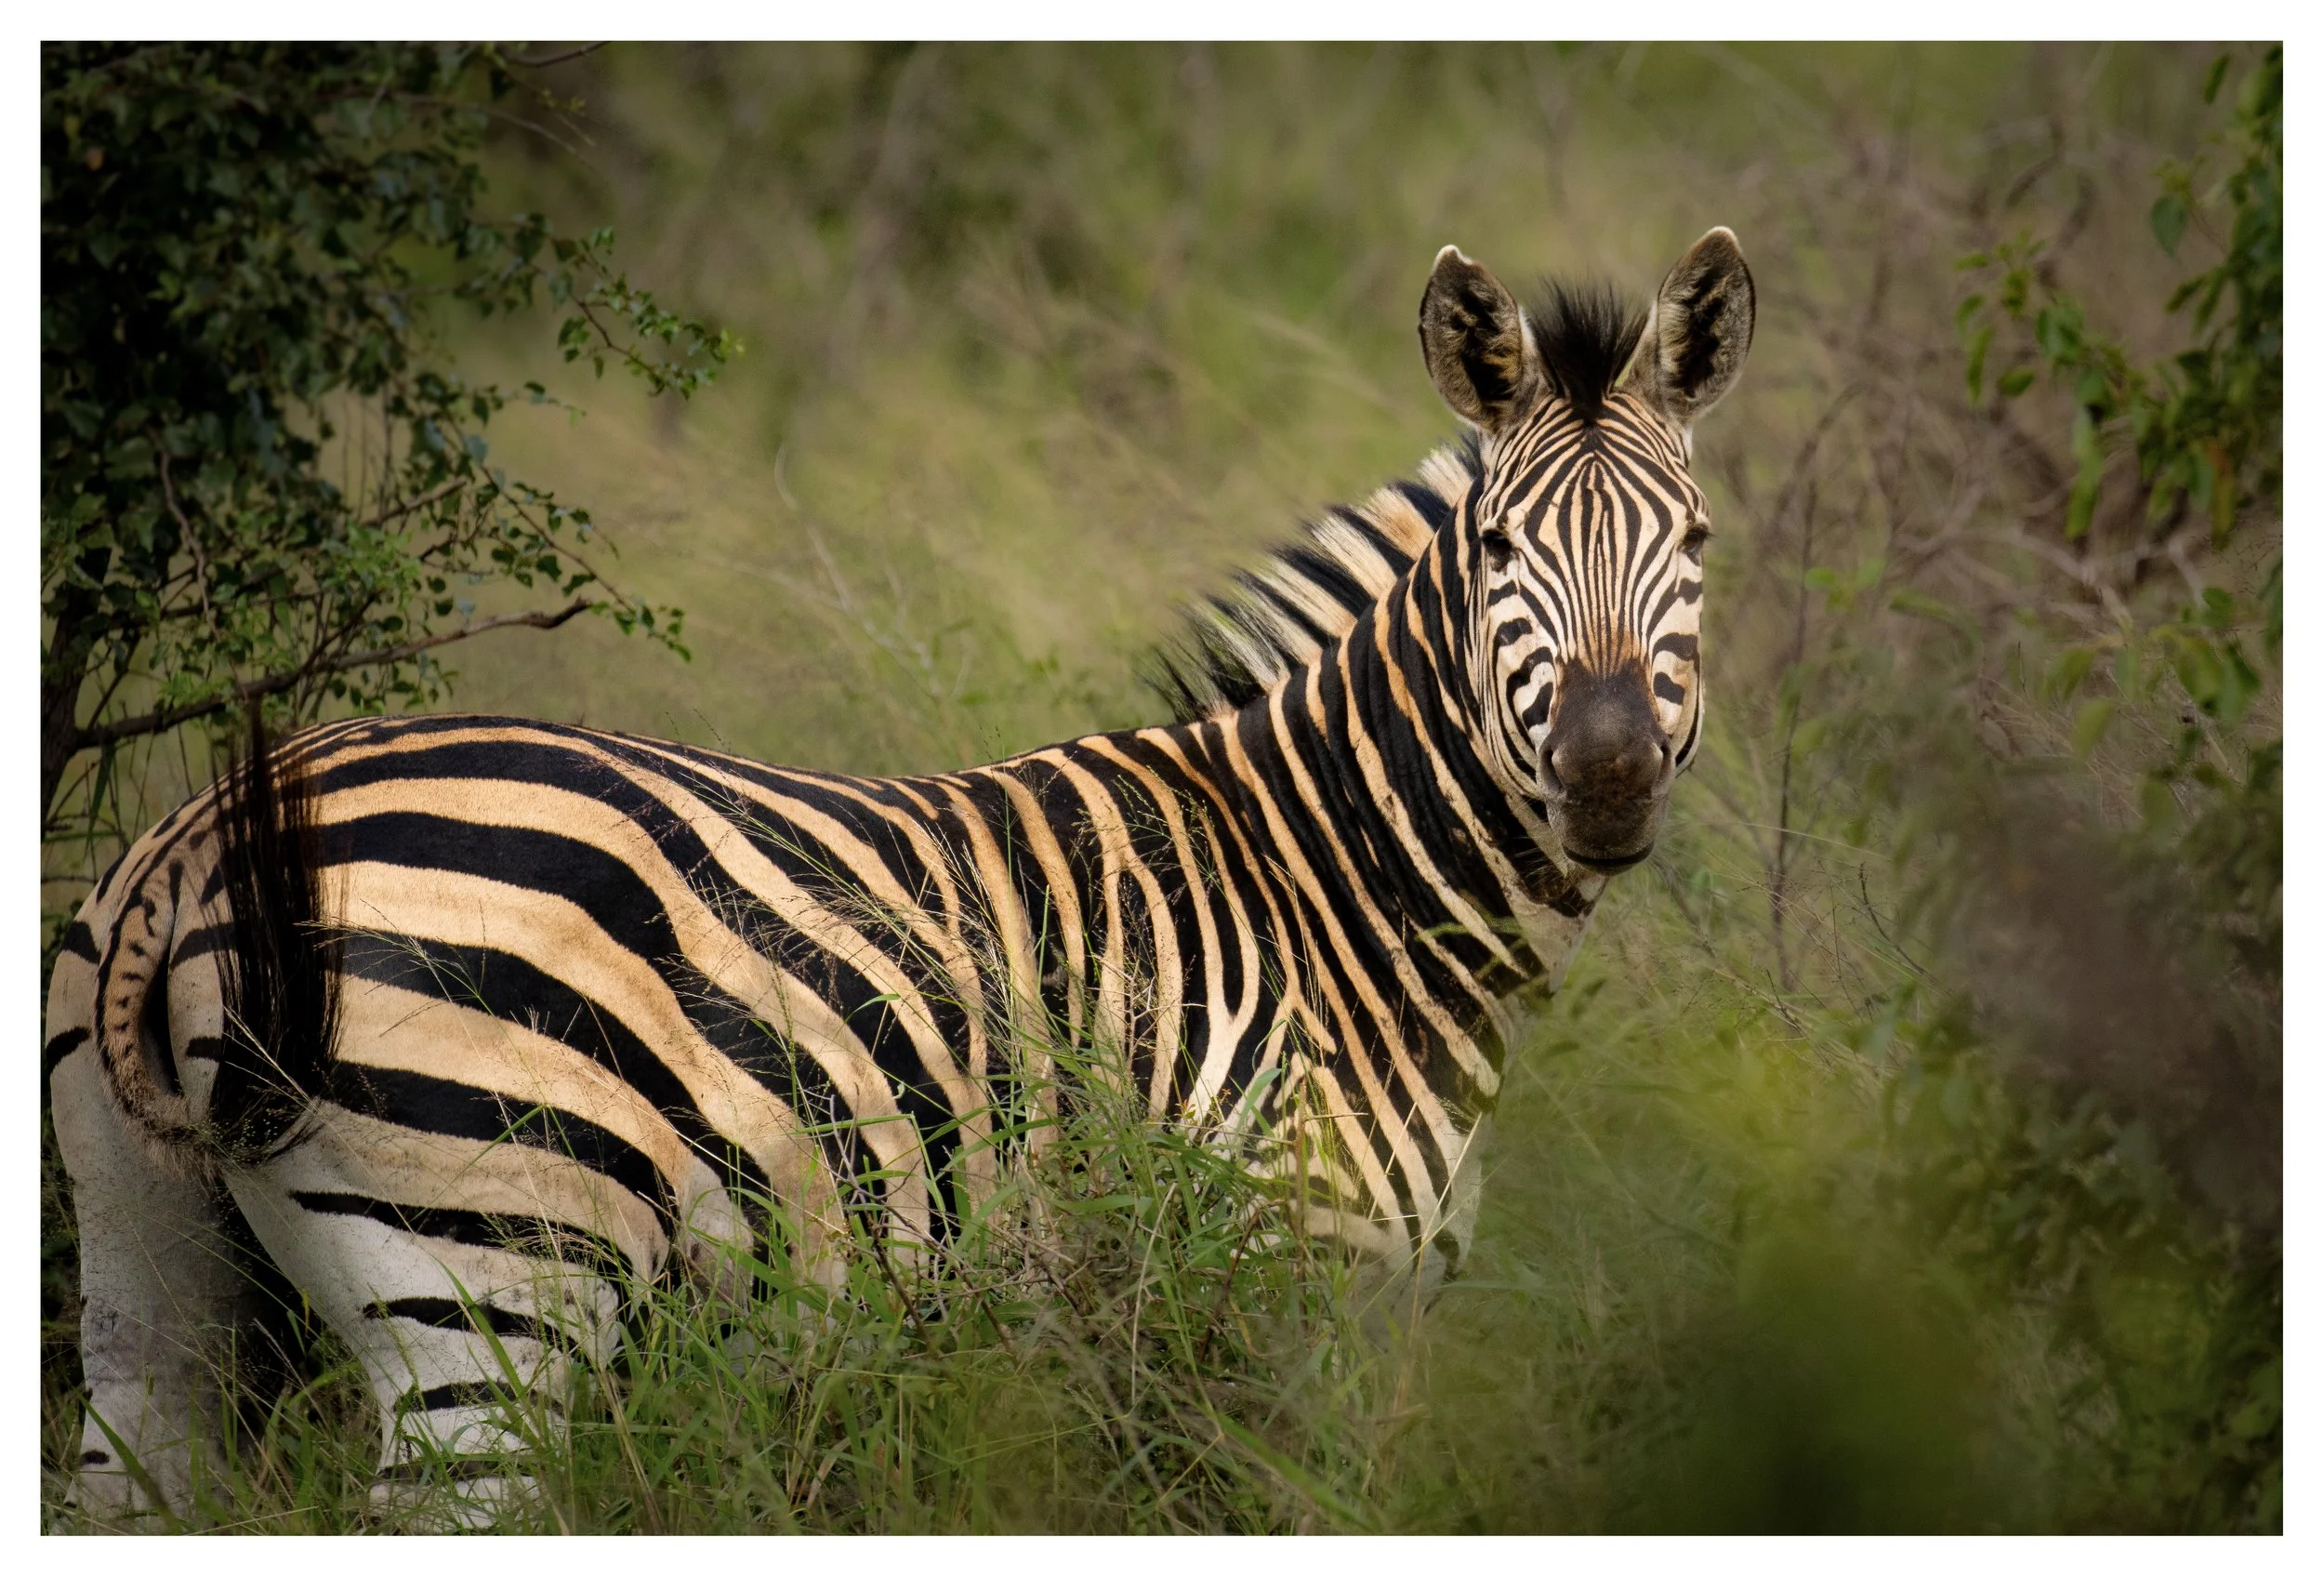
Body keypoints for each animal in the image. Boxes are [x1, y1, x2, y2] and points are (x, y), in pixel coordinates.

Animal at [45, 228, 1753, 1524]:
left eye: (1697, 543)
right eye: (1499, 552)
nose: (1607, 778)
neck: (1337, 891)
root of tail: (195, 844)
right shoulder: (1279, 1304)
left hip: (148, 1267)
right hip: (492, 1304)